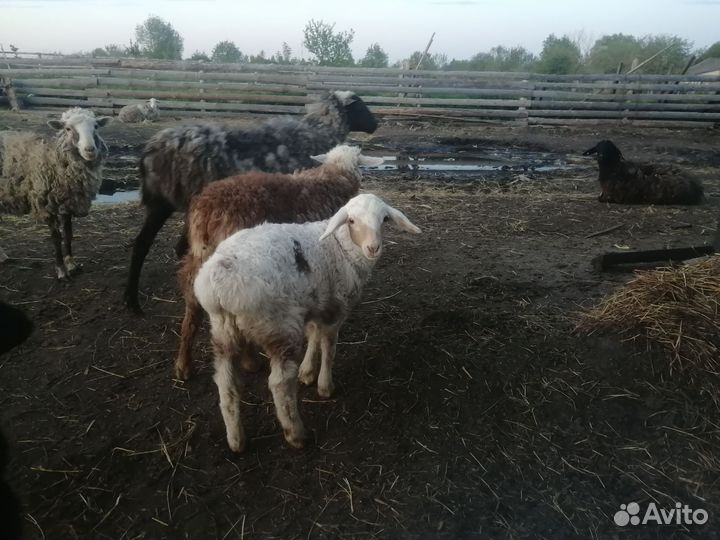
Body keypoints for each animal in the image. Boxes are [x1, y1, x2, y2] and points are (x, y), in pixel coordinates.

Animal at [0, 107, 111, 278]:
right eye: (68, 129)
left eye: (96, 126)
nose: (90, 150)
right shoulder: (46, 204)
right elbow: (56, 237)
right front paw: (61, 270)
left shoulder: (67, 203)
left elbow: (68, 234)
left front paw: (71, 264)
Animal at [124, 90, 378, 313]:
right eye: (360, 106)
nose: (375, 124)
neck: (318, 134)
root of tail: (151, 148)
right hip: (170, 203)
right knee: (149, 245)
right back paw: (134, 303)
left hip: (165, 204)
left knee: (148, 244)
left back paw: (134, 302)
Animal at [175, 145, 383, 381]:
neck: (334, 176)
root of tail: (206, 209)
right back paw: (250, 361)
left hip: (199, 257)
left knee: (192, 301)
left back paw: (183, 364)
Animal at [194, 193, 421, 452]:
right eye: (351, 220)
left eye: (384, 219)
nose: (373, 248)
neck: (341, 248)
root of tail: (219, 284)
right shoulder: (335, 309)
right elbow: (328, 347)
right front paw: (325, 386)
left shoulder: (317, 304)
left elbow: (313, 335)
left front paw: (307, 372)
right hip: (279, 327)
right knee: (280, 384)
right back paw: (296, 434)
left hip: (223, 330)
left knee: (227, 383)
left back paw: (236, 440)